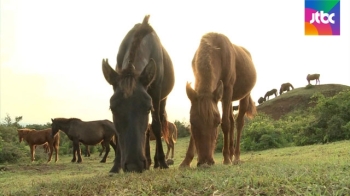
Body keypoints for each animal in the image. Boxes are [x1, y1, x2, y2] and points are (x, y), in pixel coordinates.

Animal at [101, 14, 174, 173]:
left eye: (147, 108)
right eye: (112, 108)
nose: (133, 165)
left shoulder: (155, 94)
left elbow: (156, 126)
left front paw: (162, 161)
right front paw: (116, 166)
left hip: (162, 100)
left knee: (157, 123)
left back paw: (157, 162)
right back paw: (149, 162)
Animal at [180, 32, 258, 168]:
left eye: (216, 123)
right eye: (192, 123)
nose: (205, 161)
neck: (216, 49)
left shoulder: (227, 89)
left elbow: (225, 124)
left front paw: (226, 158)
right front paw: (186, 161)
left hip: (244, 95)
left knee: (238, 123)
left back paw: (235, 157)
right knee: (232, 121)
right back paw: (232, 155)